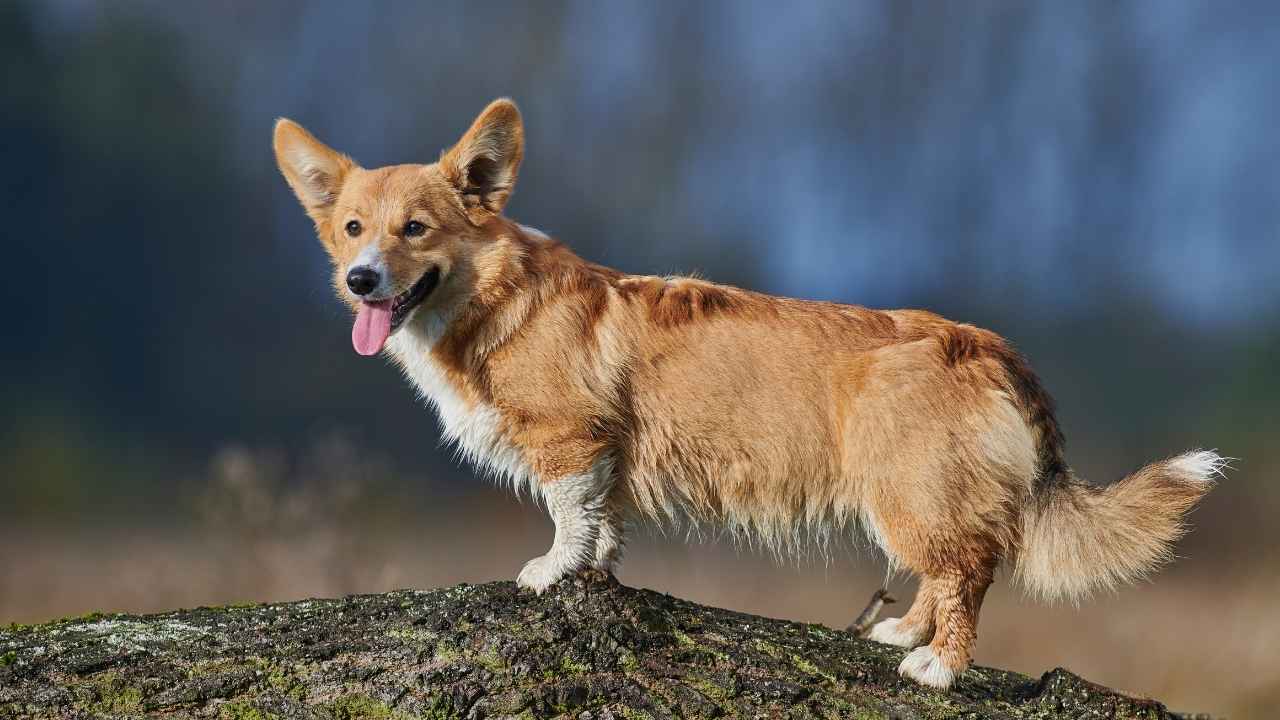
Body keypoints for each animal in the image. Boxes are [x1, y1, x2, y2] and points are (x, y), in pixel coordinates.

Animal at [272, 98, 1218, 686]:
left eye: (415, 229)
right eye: (352, 228)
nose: (359, 281)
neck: (493, 294)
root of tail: (989, 347)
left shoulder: (570, 443)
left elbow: (567, 515)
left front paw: (549, 573)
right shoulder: (608, 455)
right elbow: (603, 523)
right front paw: (597, 573)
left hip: (909, 492)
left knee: (971, 571)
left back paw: (938, 667)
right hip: (916, 497)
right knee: (948, 569)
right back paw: (901, 634)